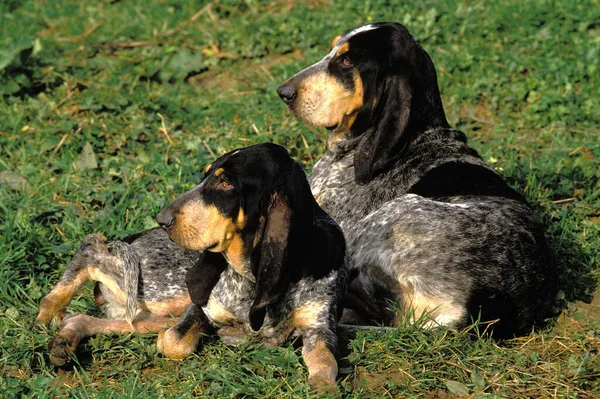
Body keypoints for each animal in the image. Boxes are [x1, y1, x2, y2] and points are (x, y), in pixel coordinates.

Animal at [278, 21, 556, 338]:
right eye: (332, 49)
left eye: (347, 61)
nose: (283, 92)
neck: (415, 135)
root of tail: (477, 311)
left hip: (388, 215)